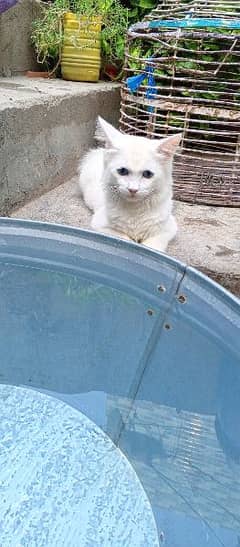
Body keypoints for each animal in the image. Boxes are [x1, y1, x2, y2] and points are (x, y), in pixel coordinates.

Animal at [79, 117, 182, 253]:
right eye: (122, 171)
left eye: (147, 174)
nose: (133, 189)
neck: (135, 211)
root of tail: (98, 151)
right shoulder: (100, 225)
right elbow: (125, 241)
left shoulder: (168, 229)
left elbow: (153, 247)